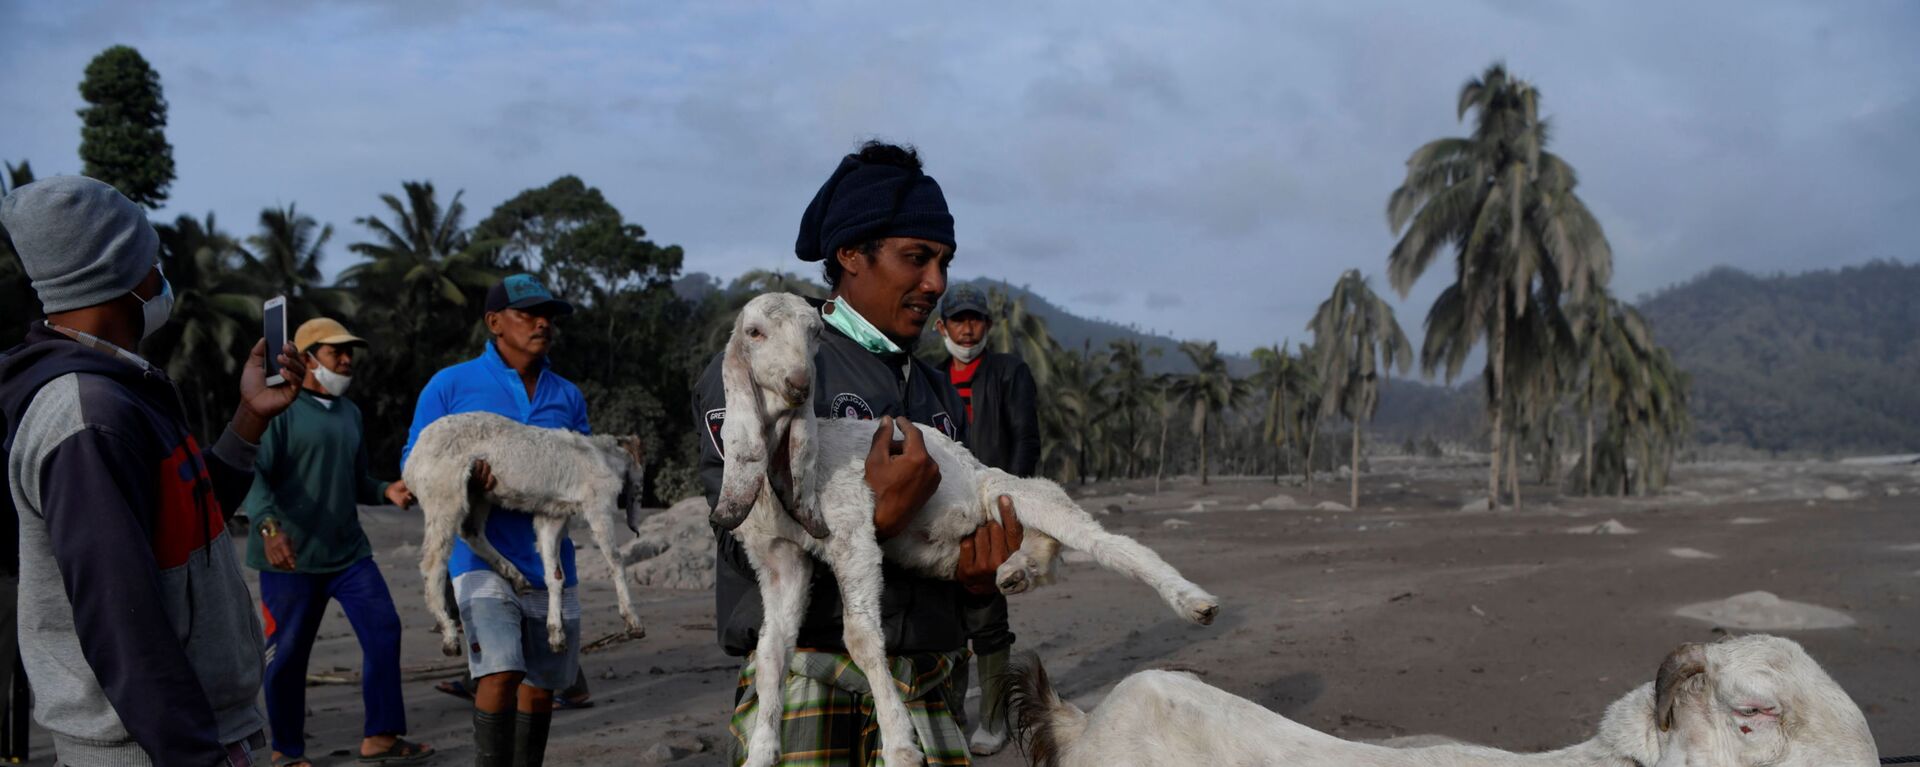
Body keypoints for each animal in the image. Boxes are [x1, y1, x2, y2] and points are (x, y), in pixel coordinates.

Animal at [401, 411, 648, 657]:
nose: (635, 526)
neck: (604, 454)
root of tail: (411, 463)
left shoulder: (552, 516)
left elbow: (555, 575)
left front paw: (556, 635)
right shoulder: (598, 505)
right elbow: (615, 560)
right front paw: (633, 623)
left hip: (478, 491)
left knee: (471, 531)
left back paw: (517, 576)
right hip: (445, 497)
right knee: (433, 563)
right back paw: (449, 636)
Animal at [714, 294, 1221, 767]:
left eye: (815, 332)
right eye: (754, 332)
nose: (798, 385)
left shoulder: (852, 533)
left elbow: (859, 638)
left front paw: (900, 744)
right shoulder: (778, 559)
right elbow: (771, 651)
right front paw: (761, 751)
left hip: (1013, 492)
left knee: (1109, 543)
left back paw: (1194, 603)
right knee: (1047, 542)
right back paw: (1016, 570)